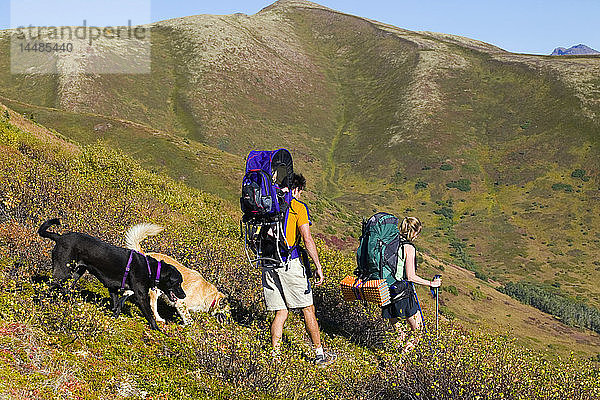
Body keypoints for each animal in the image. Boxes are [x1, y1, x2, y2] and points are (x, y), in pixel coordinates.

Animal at [37, 217, 185, 330]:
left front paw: (114, 317)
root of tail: (59, 237)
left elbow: (117, 306)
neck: (151, 269)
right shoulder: (141, 297)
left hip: (77, 273)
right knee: (48, 287)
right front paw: (158, 330)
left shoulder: (113, 288)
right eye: (178, 283)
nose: (183, 295)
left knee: (65, 288)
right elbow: (150, 316)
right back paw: (41, 302)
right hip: (63, 271)